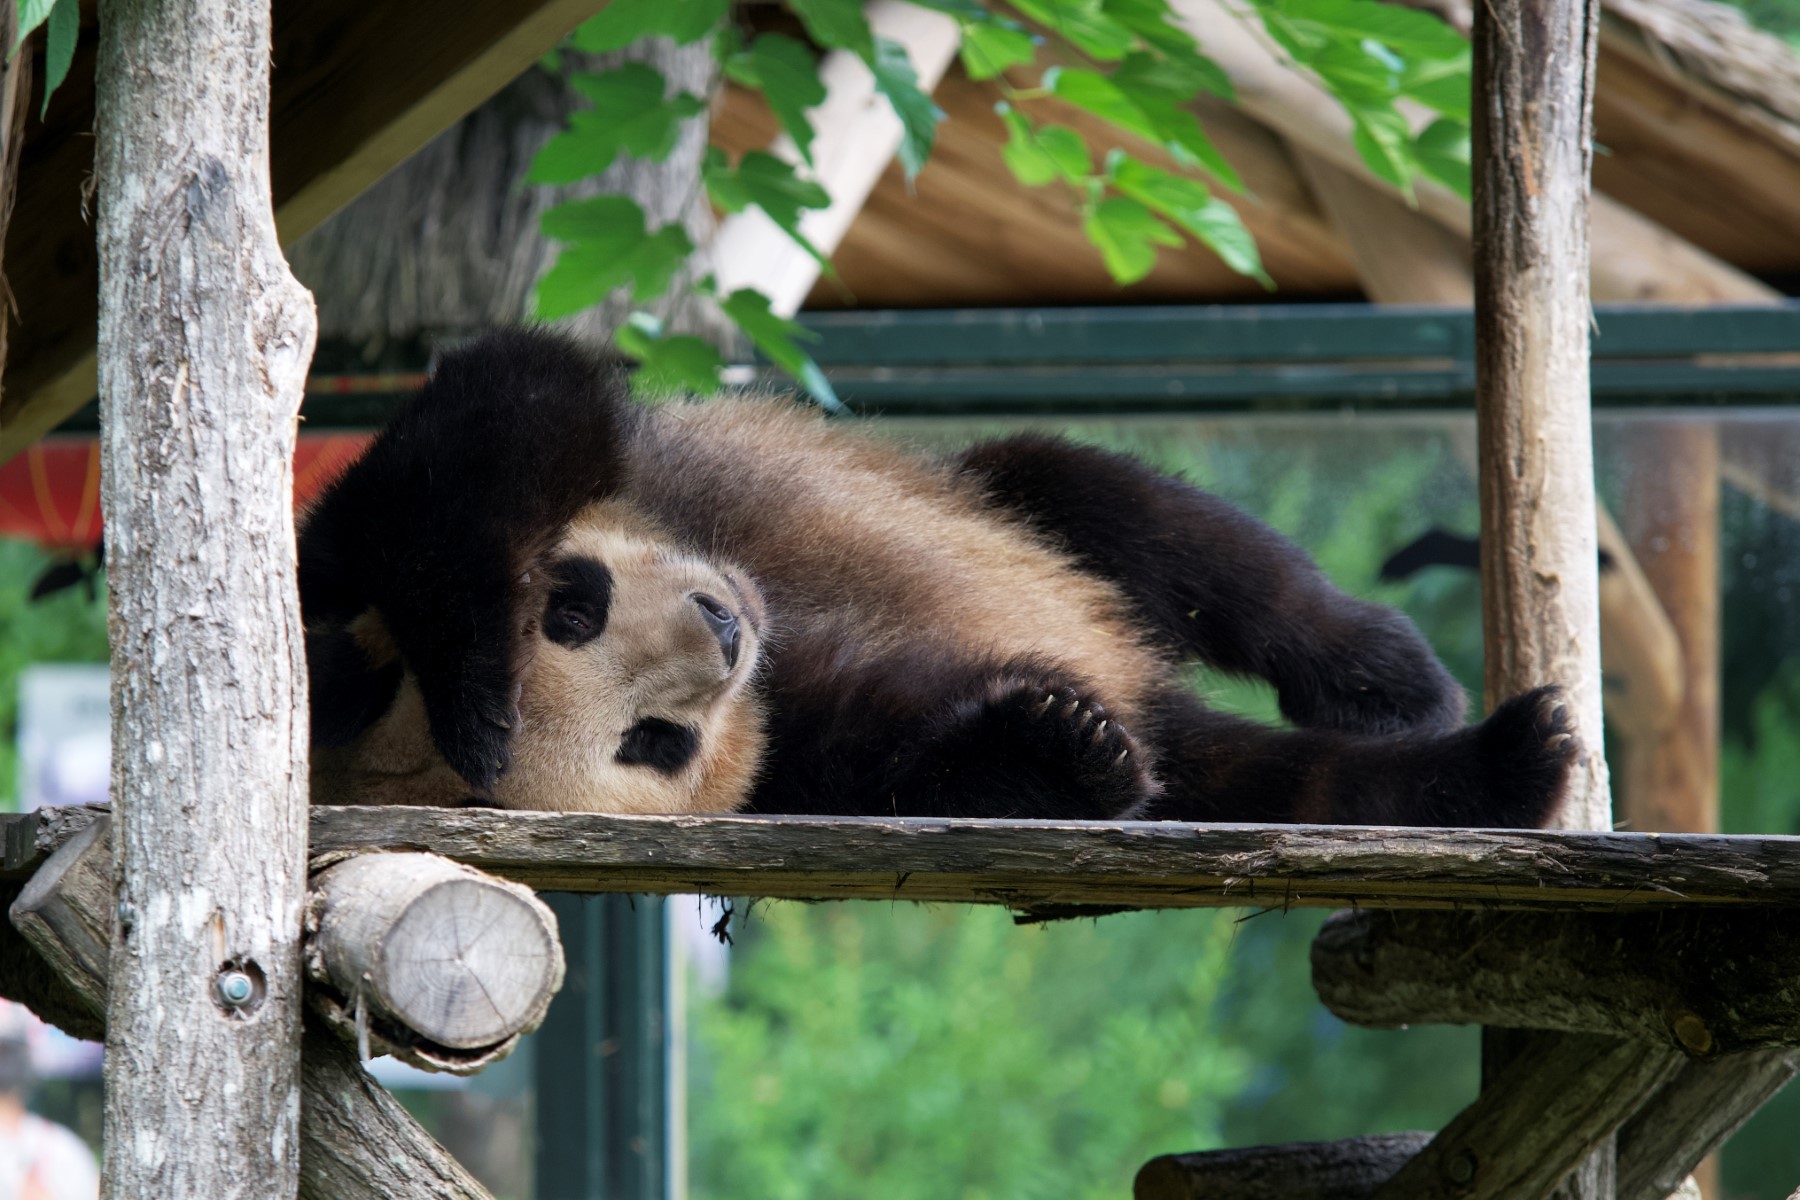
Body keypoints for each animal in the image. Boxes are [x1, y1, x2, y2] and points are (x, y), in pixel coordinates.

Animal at [299, 328, 1577, 827]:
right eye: (651, 744)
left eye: (575, 606)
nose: (723, 633)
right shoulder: (798, 756)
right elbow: (912, 759)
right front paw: (1062, 748)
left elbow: (508, 411)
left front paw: (472, 680)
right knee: (1280, 782)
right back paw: (1500, 767)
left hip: (1008, 508)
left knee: (1139, 520)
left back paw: (1391, 678)